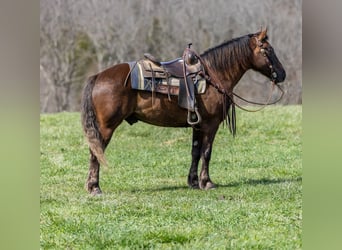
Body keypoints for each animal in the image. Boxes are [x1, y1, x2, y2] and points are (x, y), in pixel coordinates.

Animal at [81, 27, 286, 195]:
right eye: (268, 50)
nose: (282, 74)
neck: (214, 75)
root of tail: (98, 76)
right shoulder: (211, 125)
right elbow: (207, 152)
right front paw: (207, 182)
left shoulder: (198, 125)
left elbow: (195, 152)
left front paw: (193, 182)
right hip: (106, 127)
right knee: (96, 152)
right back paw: (95, 187)